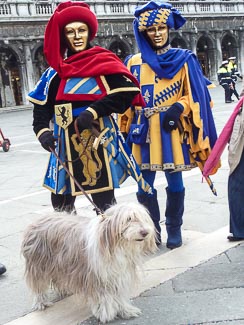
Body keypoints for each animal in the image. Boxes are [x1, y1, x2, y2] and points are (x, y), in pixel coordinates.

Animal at [21, 201, 157, 322]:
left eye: (144, 219)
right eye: (128, 219)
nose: (145, 232)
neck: (116, 245)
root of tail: (39, 219)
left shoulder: (119, 275)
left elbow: (119, 296)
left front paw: (126, 310)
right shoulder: (97, 277)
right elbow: (104, 297)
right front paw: (105, 313)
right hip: (38, 265)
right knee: (38, 285)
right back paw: (41, 302)